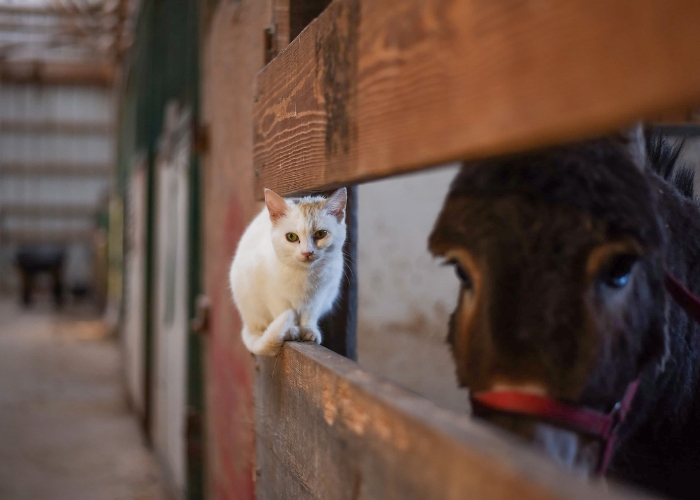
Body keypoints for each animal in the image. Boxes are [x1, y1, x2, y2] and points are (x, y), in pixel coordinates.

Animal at [230, 188, 348, 356]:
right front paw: (290, 330)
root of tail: (248, 324)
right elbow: (282, 310)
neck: (304, 274)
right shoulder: (272, 293)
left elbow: (310, 314)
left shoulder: (320, 296)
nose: (307, 252)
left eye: (321, 234)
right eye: (291, 236)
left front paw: (308, 330)